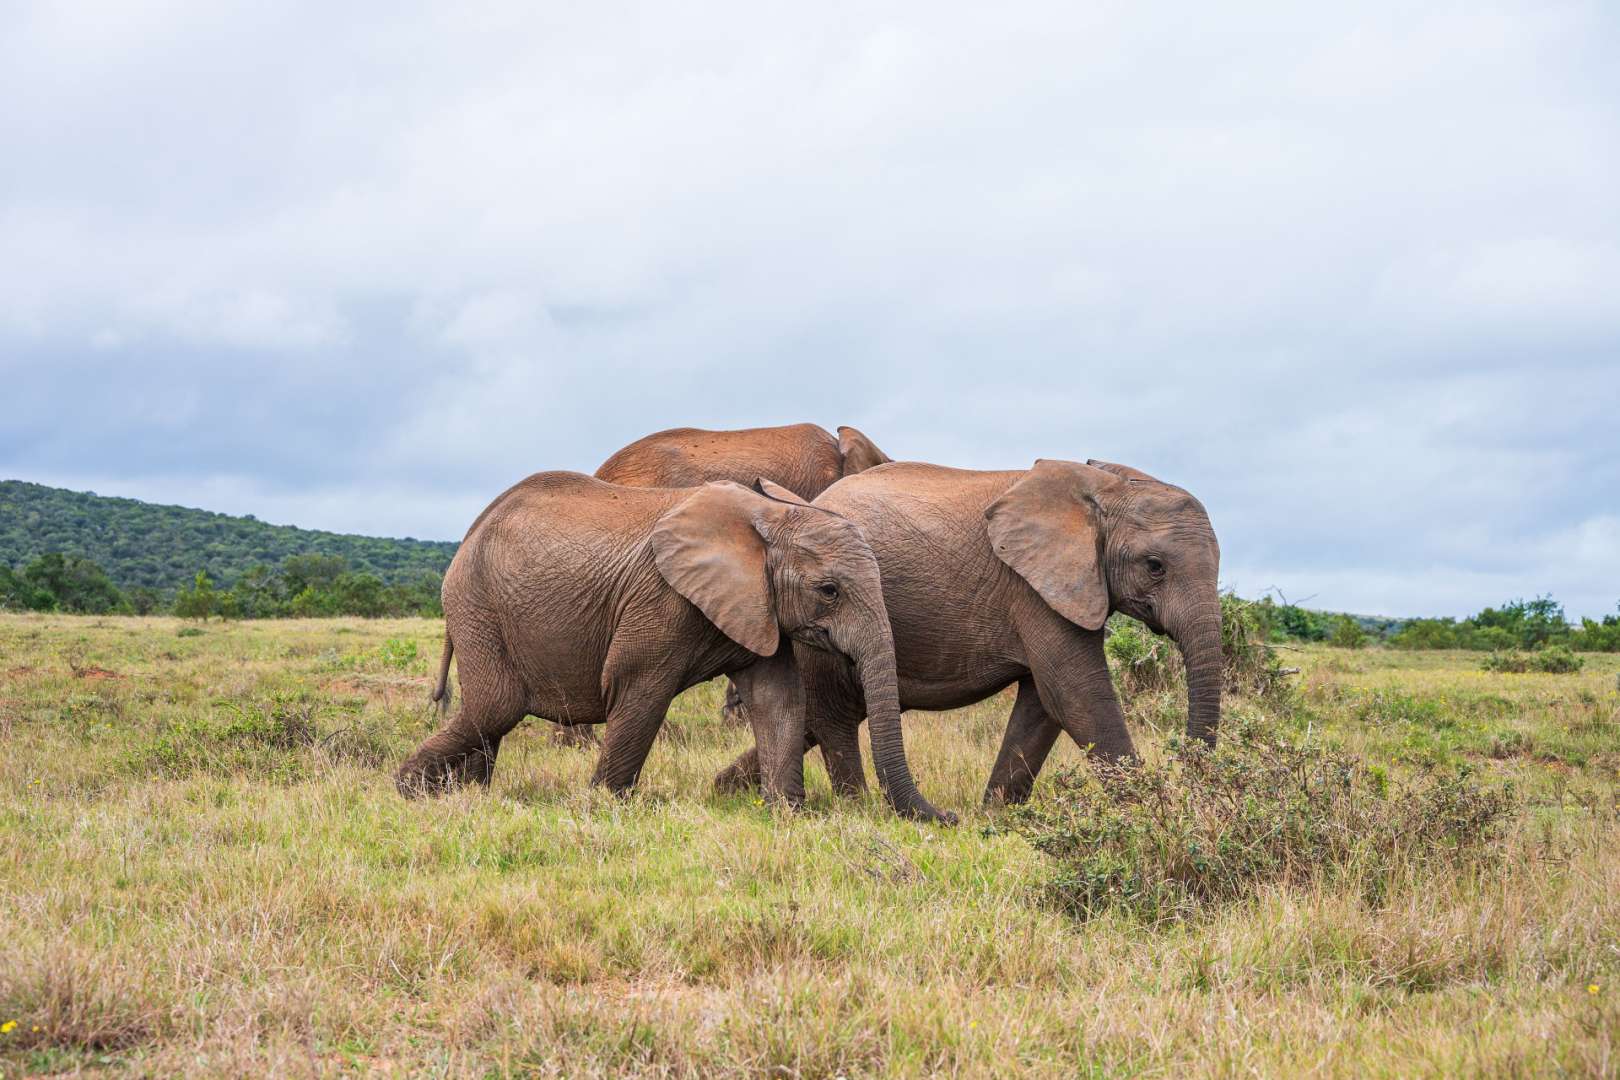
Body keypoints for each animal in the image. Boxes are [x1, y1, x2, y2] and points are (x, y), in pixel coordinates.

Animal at [395, 471, 952, 823]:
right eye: (830, 590)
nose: (948, 817)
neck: (768, 518)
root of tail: (471, 530)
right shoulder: (662, 600)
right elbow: (639, 693)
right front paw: (604, 807)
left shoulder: (756, 606)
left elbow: (778, 700)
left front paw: (787, 813)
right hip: (476, 605)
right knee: (496, 707)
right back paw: (410, 791)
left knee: (490, 716)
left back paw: (463, 793)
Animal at [714, 458, 1223, 806]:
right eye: (1155, 566)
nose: (1184, 777)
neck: (1102, 484)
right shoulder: (1033, 589)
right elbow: (1076, 693)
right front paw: (1147, 807)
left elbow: (1043, 703)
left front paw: (996, 814)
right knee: (833, 714)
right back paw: (855, 806)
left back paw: (726, 789)